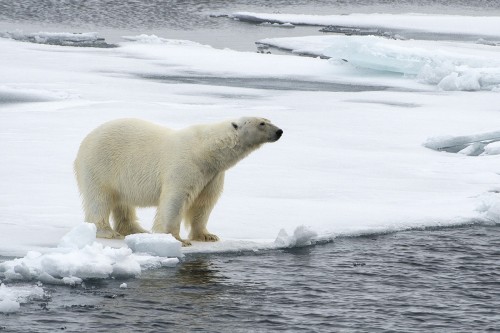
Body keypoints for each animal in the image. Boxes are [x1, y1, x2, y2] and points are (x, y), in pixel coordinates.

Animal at [74, 116, 286, 244]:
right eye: (261, 123)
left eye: (268, 120)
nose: (280, 131)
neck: (206, 151)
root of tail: (84, 143)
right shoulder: (185, 165)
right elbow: (176, 199)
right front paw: (178, 239)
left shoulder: (212, 175)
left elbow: (203, 203)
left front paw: (207, 235)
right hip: (101, 165)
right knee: (99, 199)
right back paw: (107, 231)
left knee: (123, 204)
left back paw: (137, 230)